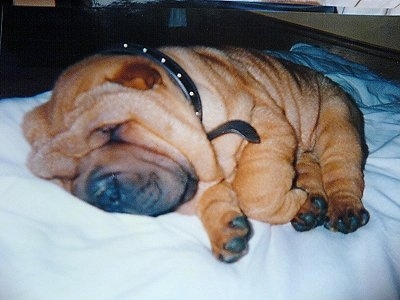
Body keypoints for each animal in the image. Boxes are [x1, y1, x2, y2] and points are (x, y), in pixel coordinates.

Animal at [23, 46, 370, 262]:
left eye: (112, 130)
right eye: (61, 176)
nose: (101, 194)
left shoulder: (266, 121)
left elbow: (256, 190)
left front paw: (289, 202)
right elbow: (218, 195)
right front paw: (226, 226)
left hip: (338, 124)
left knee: (342, 170)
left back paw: (343, 209)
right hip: (307, 151)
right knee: (309, 168)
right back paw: (311, 203)